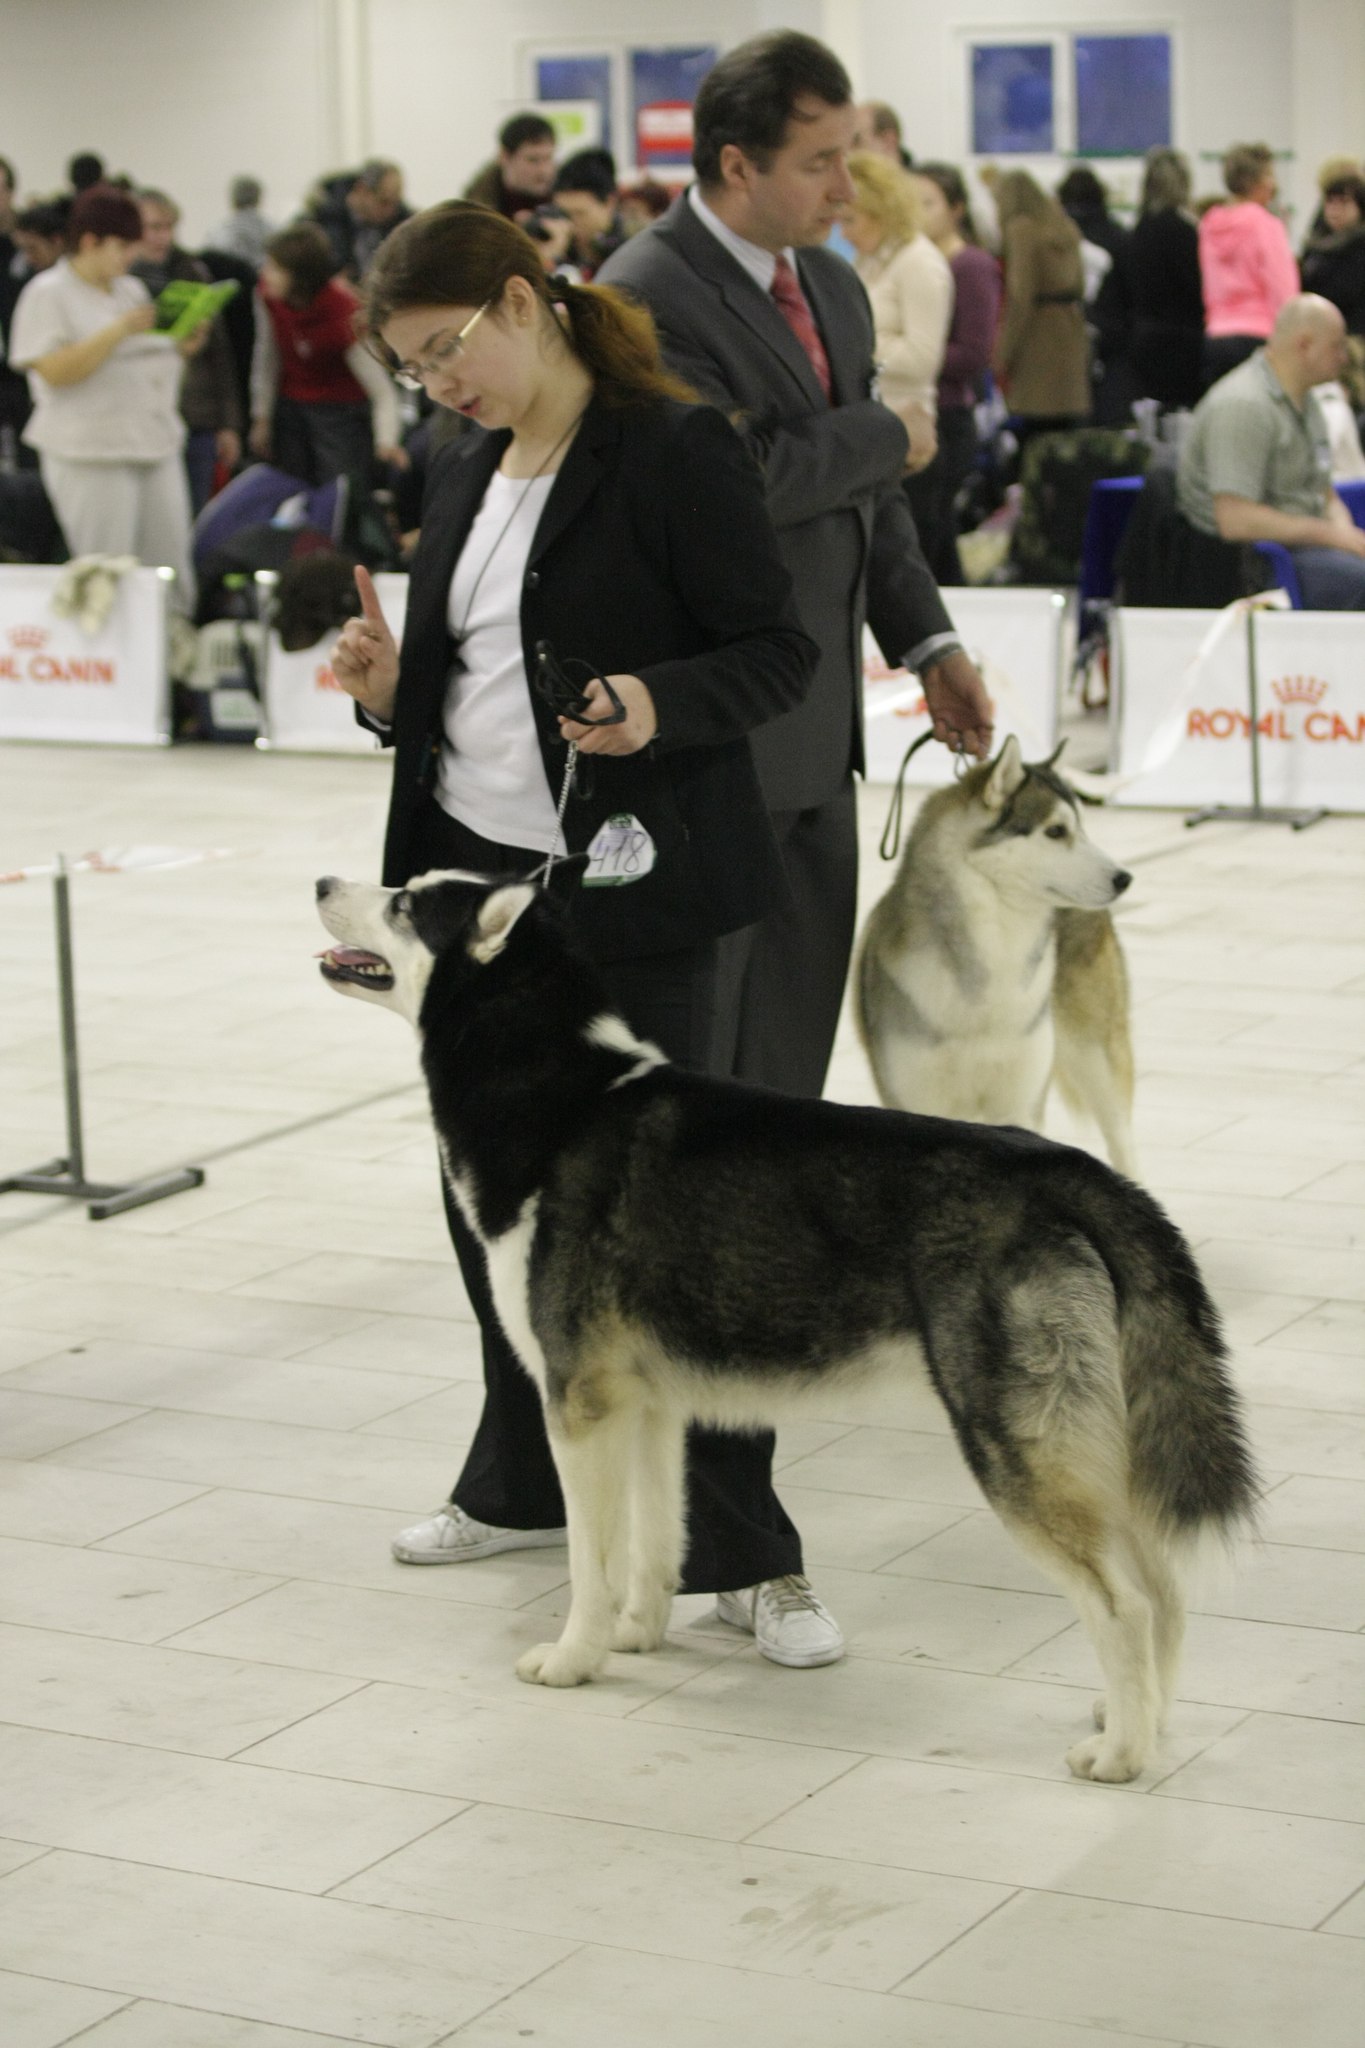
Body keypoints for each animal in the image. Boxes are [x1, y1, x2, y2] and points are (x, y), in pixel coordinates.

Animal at [316, 865, 1257, 1783]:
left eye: (405, 901)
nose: (323, 882)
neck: (558, 1097)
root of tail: (1068, 1169)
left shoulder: (578, 1403)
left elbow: (591, 1560)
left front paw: (574, 1659)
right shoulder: (646, 1407)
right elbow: (655, 1543)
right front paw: (636, 1636)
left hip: (1017, 1448)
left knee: (1123, 1603)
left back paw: (1121, 1757)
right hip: (1097, 1444)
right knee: (1165, 1592)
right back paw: (1144, 1723)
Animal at [856, 735, 1138, 1177]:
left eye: (1082, 827)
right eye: (1056, 831)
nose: (1124, 878)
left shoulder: (1020, 1103)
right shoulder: (917, 1098)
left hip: (1098, 1054)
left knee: (1122, 1142)